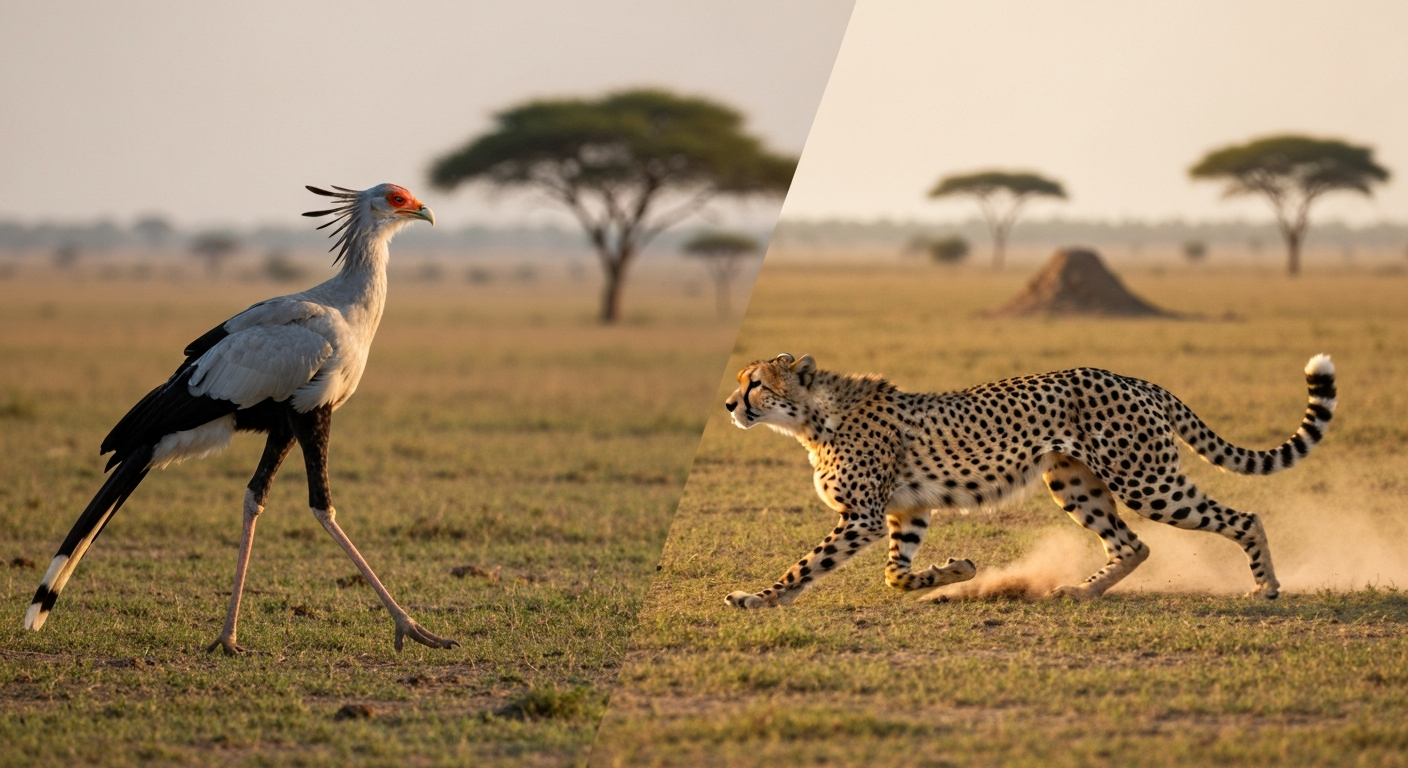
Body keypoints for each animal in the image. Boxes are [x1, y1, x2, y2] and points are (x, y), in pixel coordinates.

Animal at [721, 352, 1336, 608]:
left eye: (755, 383)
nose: (729, 404)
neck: (811, 417)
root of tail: (1135, 378)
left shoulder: (864, 517)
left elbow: (806, 565)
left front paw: (759, 599)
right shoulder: (906, 512)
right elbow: (897, 575)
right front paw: (958, 571)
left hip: (1146, 481)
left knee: (1243, 516)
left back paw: (1266, 587)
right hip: (1075, 483)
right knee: (1132, 544)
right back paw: (1081, 591)